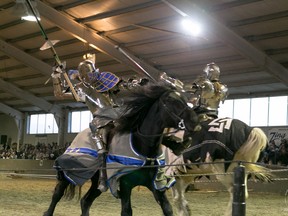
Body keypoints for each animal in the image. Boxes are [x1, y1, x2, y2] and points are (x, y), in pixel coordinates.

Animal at [44, 83, 200, 216]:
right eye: (171, 101)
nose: (195, 122)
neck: (142, 146)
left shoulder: (156, 184)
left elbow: (167, 209)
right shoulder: (125, 185)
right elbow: (126, 211)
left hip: (96, 182)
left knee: (85, 201)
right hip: (70, 170)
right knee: (57, 194)